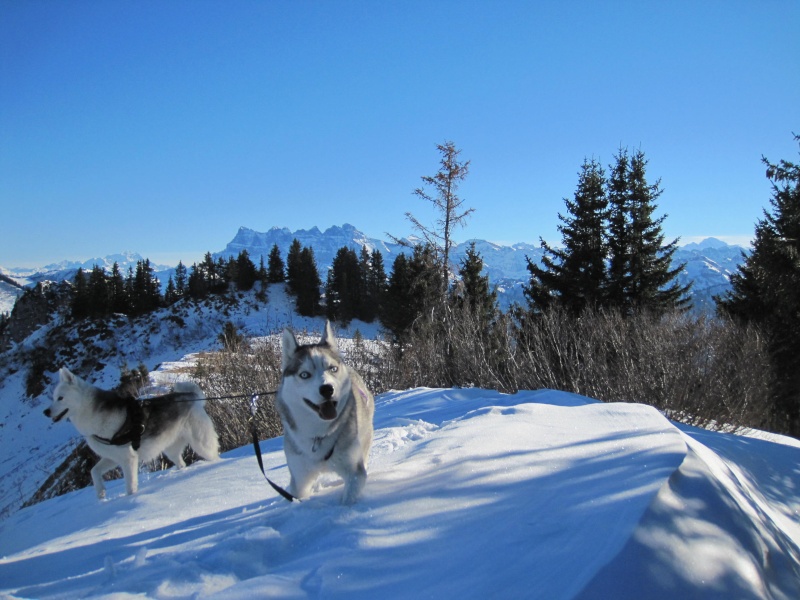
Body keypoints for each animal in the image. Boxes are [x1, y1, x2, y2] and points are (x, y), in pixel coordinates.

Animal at [43, 368, 219, 500]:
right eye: (53, 398)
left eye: (60, 398)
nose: (46, 412)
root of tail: (191, 396)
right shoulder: (112, 457)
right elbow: (94, 471)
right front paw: (101, 493)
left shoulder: (128, 459)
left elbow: (130, 487)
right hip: (171, 450)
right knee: (182, 464)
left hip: (201, 444)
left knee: (215, 458)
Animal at [278, 322, 376, 504]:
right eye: (304, 374)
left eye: (333, 368)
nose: (327, 389)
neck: (319, 434)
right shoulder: (299, 480)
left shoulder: (355, 472)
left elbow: (348, 499)